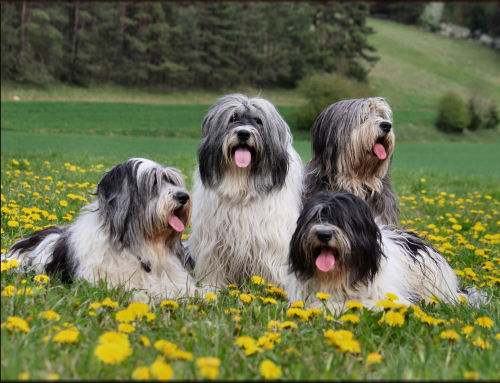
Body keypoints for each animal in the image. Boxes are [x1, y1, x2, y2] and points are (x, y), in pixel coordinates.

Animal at [188, 94, 302, 290]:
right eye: (232, 118)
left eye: (258, 121)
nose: (243, 133)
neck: (241, 185)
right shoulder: (213, 239)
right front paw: (211, 286)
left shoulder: (271, 237)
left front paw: (272, 288)